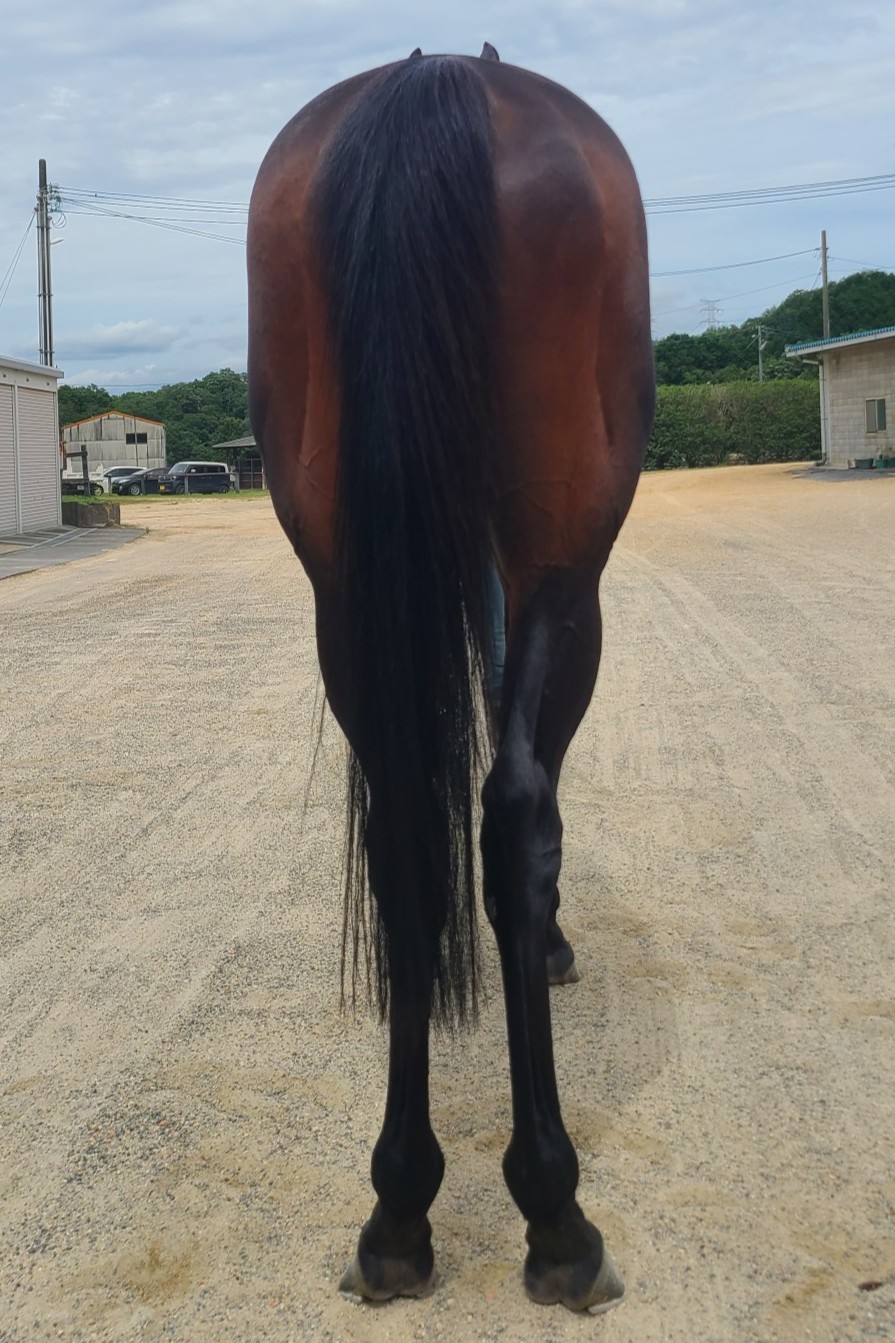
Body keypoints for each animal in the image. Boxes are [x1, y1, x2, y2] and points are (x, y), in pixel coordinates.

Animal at [247, 43, 654, 1313]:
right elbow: (533, 808)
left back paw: (398, 1205)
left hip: (340, 586)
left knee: (402, 832)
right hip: (567, 560)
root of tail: (431, 85)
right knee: (515, 806)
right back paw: (556, 1212)